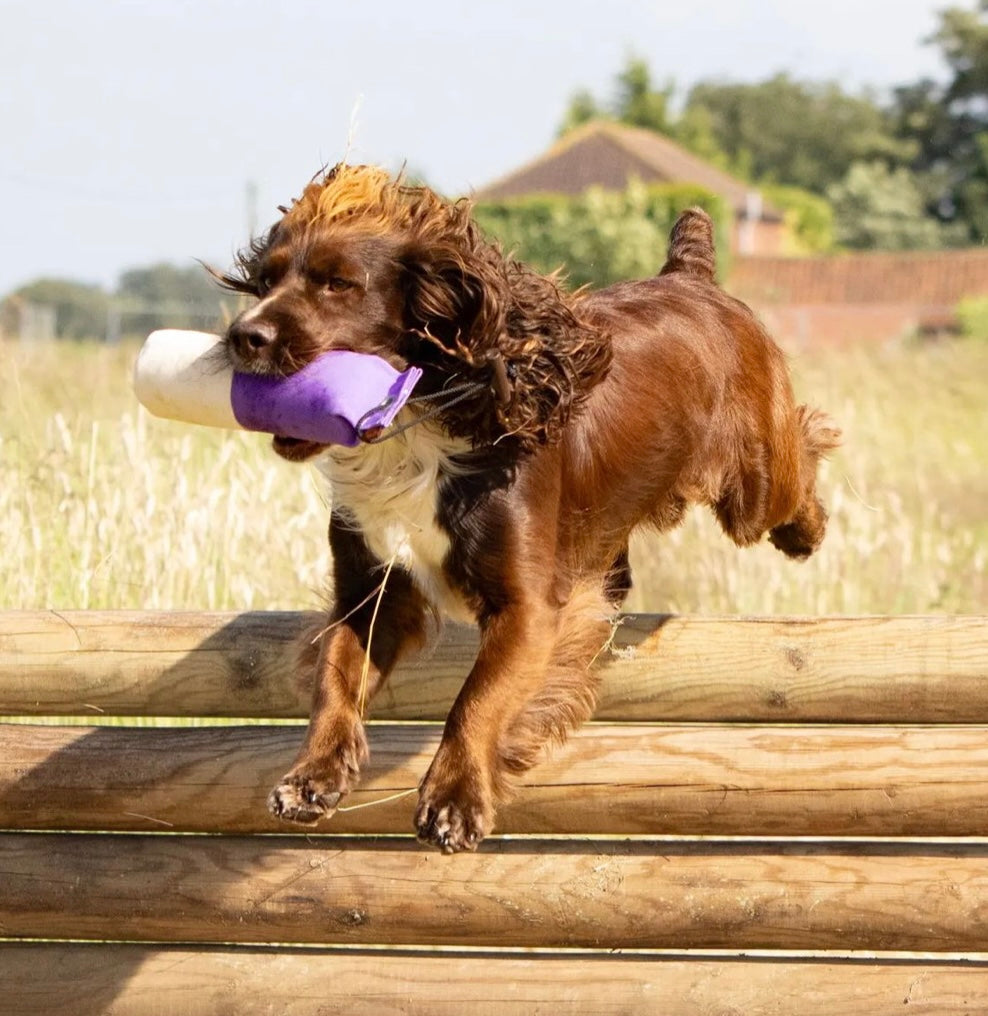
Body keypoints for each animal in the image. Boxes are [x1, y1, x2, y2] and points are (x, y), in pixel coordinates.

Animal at [216, 164, 841, 849]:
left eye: (338, 284)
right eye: (265, 280)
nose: (244, 336)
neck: (416, 434)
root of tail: (692, 276)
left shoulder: (528, 605)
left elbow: (478, 697)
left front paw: (453, 800)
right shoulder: (369, 589)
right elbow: (335, 674)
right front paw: (312, 777)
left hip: (753, 484)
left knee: (799, 459)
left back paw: (806, 531)